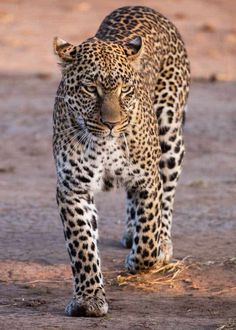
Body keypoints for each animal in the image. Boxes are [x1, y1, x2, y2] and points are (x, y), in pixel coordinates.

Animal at [52, 5, 190, 318]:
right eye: (90, 89)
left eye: (126, 89)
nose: (112, 124)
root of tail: (140, 6)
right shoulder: (72, 187)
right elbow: (82, 245)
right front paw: (88, 299)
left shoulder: (147, 178)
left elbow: (148, 232)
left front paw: (145, 259)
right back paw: (130, 232)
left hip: (170, 135)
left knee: (166, 195)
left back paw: (163, 242)